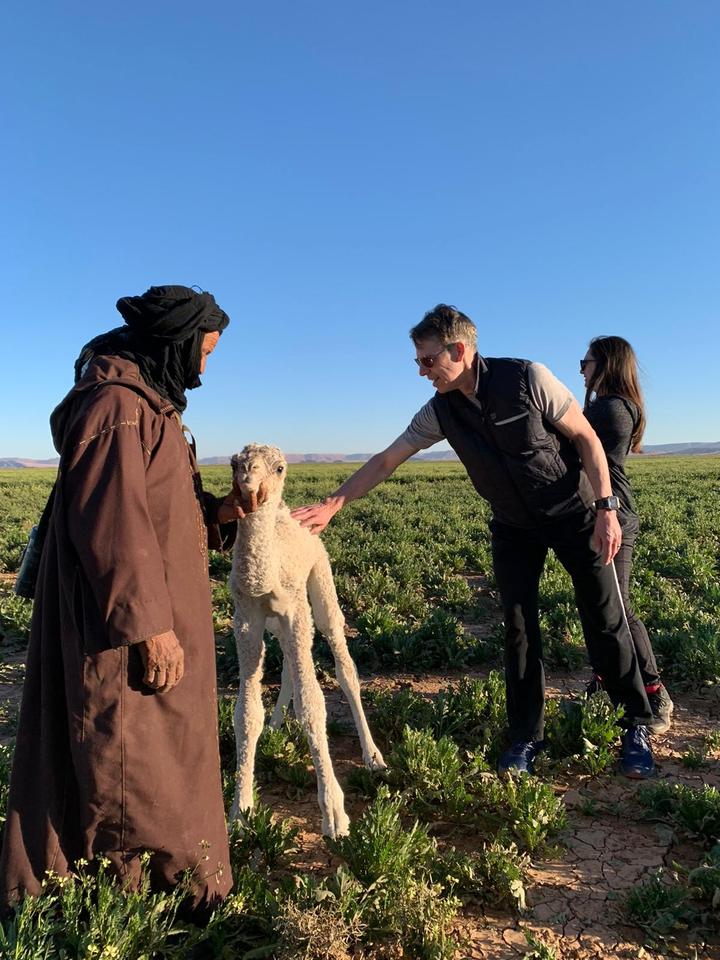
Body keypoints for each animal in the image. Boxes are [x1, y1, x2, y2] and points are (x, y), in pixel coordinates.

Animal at [228, 444, 385, 838]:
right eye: (234, 463)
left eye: (280, 468)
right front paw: (239, 812)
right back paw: (275, 726)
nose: (249, 477)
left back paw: (373, 756)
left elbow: (313, 703)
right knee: (288, 665)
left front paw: (334, 815)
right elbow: (246, 712)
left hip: (320, 583)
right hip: (278, 623)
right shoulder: (246, 618)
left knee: (343, 663)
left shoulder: (296, 606)